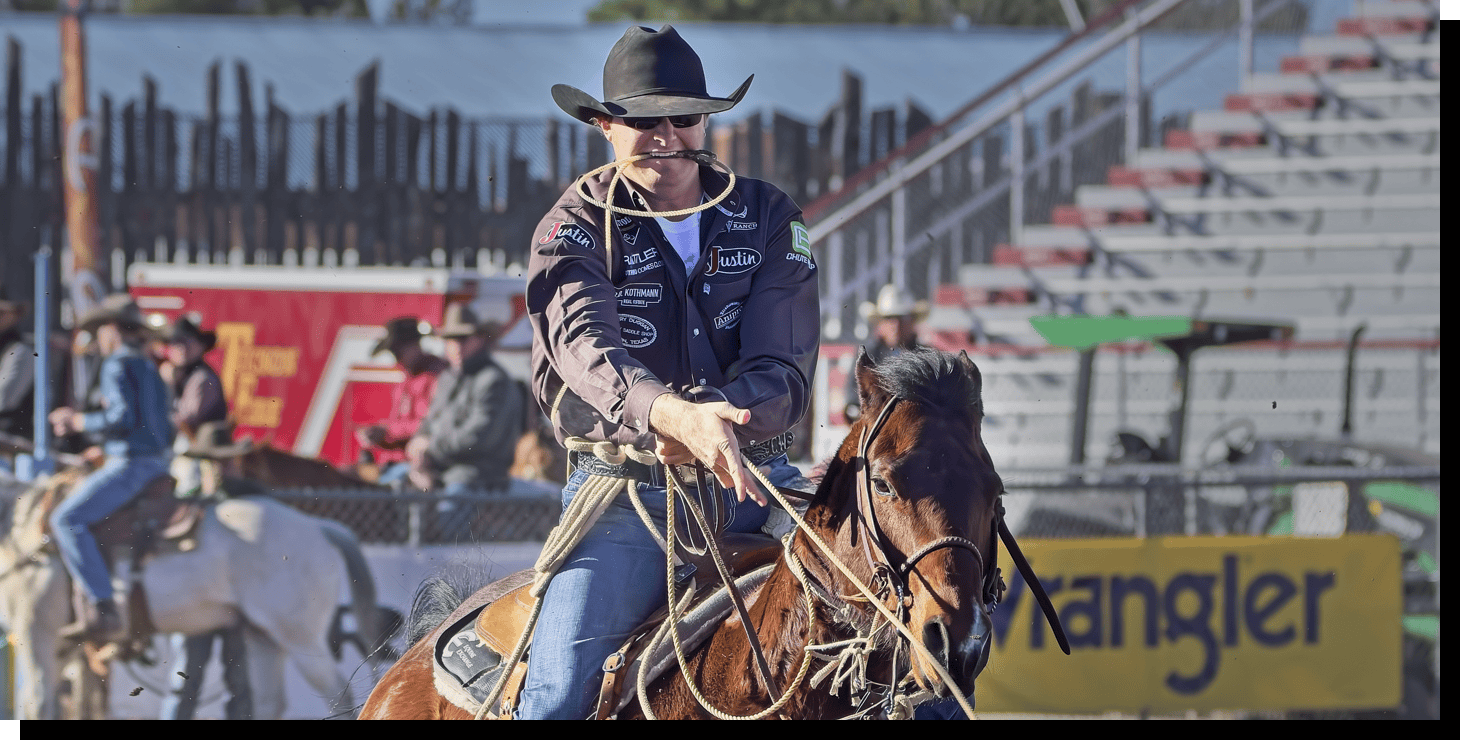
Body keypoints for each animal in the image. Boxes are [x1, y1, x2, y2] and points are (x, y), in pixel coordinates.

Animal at [0, 472, 385, 721]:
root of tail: (320, 527)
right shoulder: (64, 647)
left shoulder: (36, 632)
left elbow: (36, 703)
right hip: (261, 636)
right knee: (268, 703)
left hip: (300, 639)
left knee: (340, 697)